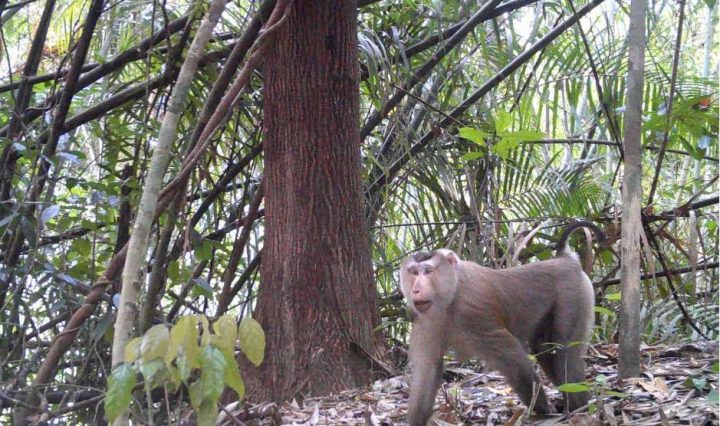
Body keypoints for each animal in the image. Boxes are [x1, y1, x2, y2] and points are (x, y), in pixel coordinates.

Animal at [400, 221, 604, 425]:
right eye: (413, 272)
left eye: (427, 271)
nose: (416, 289)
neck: (452, 295)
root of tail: (565, 259)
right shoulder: (427, 322)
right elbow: (428, 369)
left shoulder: (473, 311)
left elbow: (511, 355)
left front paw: (542, 410)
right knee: (547, 352)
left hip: (573, 295)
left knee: (564, 353)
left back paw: (579, 408)